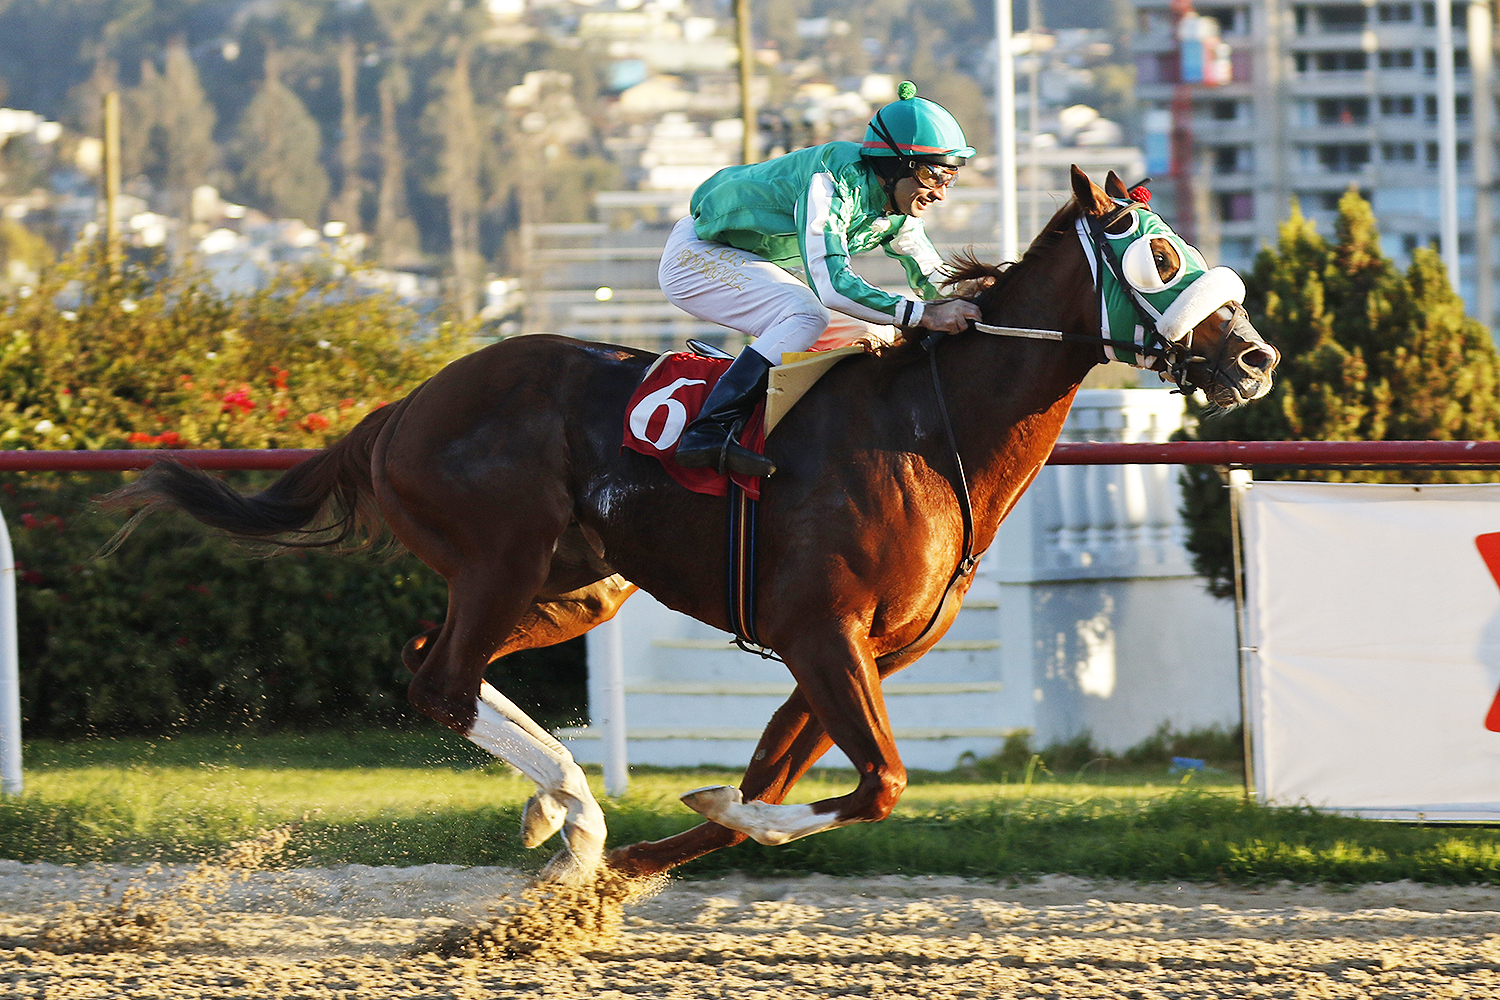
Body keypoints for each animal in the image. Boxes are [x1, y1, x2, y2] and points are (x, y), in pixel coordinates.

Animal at [103, 166, 1278, 884]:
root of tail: (406, 405)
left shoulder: (860, 653)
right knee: (441, 680)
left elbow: (777, 784)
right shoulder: (821, 632)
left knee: (431, 658)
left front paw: (622, 873)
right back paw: (575, 811)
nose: (1255, 356)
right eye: (1158, 254)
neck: (928, 429)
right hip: (502, 554)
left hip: (579, 583)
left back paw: (563, 816)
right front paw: (658, 837)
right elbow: (873, 786)